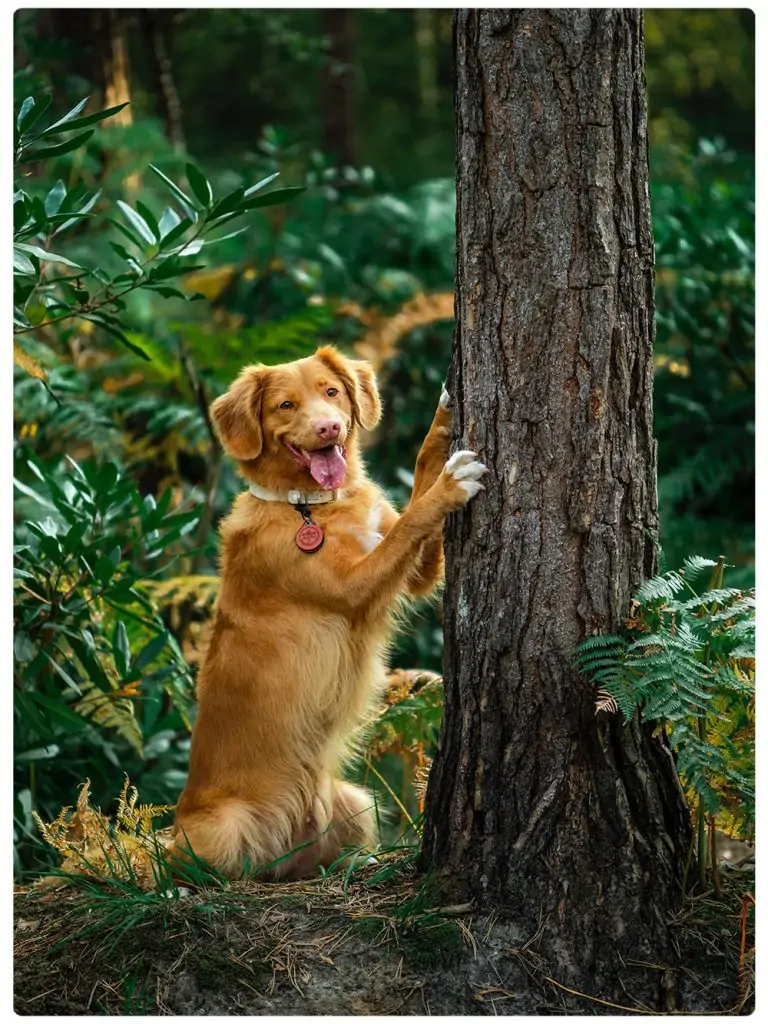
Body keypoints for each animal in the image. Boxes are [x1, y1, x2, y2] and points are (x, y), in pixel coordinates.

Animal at [171, 344, 489, 880]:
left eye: (332, 392)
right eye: (285, 405)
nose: (328, 429)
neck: (310, 505)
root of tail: (279, 860)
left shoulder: (415, 571)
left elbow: (416, 482)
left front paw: (443, 418)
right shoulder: (356, 586)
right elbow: (413, 518)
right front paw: (450, 485)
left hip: (355, 802)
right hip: (224, 829)